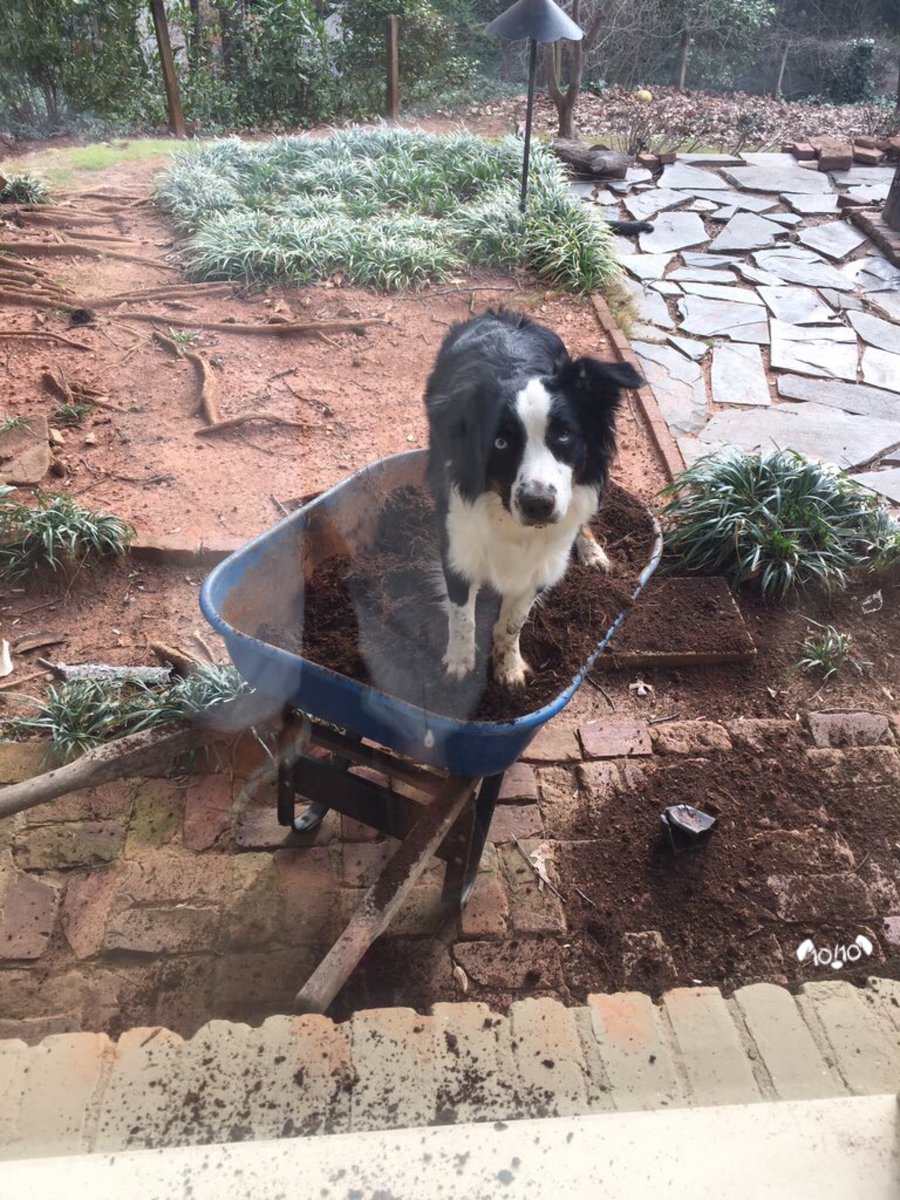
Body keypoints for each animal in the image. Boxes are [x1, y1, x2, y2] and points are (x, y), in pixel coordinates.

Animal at [423, 310, 644, 688]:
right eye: (500, 442)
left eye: (564, 435)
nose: (537, 504)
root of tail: (503, 313)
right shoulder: (457, 546)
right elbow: (463, 617)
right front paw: (459, 667)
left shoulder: (541, 562)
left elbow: (513, 623)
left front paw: (509, 668)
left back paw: (592, 551)